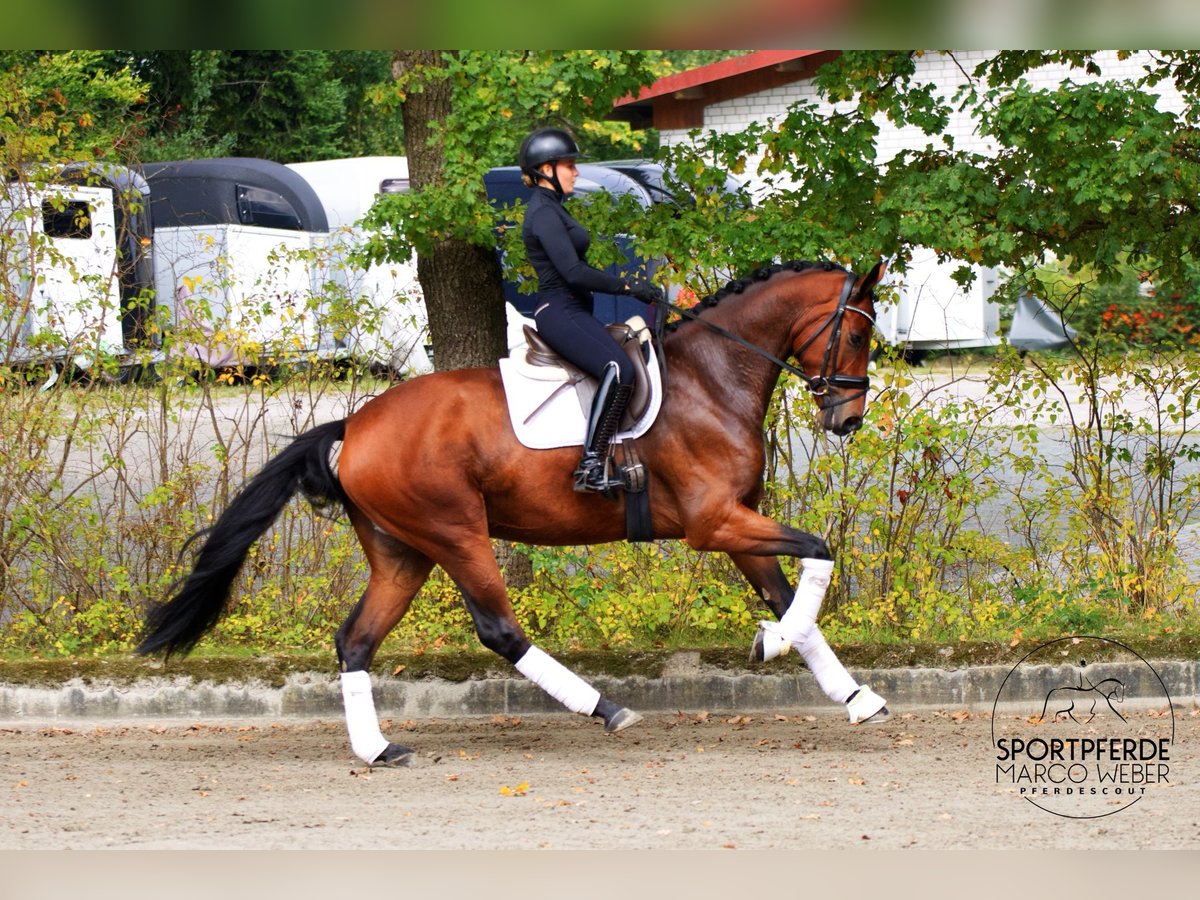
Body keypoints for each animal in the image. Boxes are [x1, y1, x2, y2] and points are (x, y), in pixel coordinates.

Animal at [137, 259, 889, 767]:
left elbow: (791, 593)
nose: (847, 418)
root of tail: (353, 427)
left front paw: (851, 693)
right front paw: (774, 643)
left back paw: (379, 749)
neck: (712, 378)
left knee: (356, 640)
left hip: (403, 552)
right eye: (857, 336)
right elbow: (820, 553)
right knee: (498, 629)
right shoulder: (714, 524)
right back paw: (604, 708)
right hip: (455, 532)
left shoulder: (737, 523)